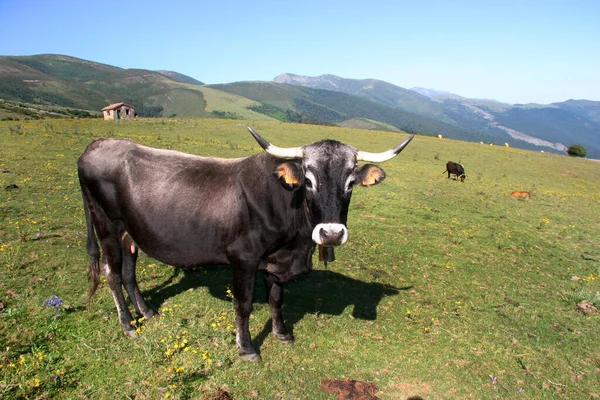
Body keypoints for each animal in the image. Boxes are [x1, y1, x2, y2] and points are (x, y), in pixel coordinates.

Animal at [77, 126, 412, 360]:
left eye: (350, 183)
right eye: (308, 181)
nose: (331, 234)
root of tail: (98, 144)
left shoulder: (275, 260)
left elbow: (277, 298)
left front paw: (281, 333)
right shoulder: (242, 257)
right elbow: (244, 303)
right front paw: (246, 347)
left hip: (130, 233)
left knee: (129, 271)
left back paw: (146, 312)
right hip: (107, 226)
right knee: (112, 273)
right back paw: (127, 324)